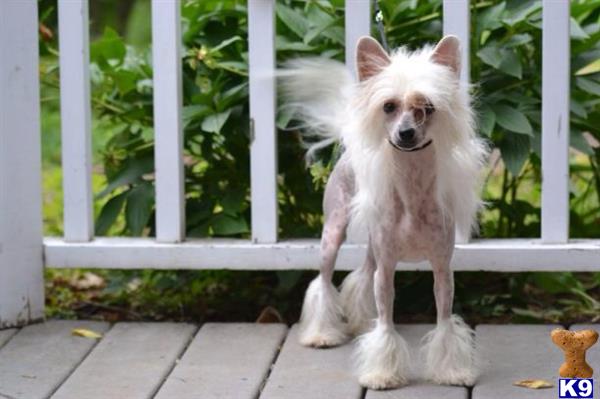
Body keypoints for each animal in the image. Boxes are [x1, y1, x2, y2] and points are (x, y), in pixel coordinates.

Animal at [280, 35, 488, 390]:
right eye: (388, 106)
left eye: (427, 108)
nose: (406, 133)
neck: (413, 191)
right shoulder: (388, 269)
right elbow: (387, 325)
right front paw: (382, 373)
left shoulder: (442, 269)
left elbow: (444, 321)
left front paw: (452, 371)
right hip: (333, 232)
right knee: (323, 280)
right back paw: (322, 333)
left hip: (374, 245)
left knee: (363, 274)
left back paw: (362, 321)